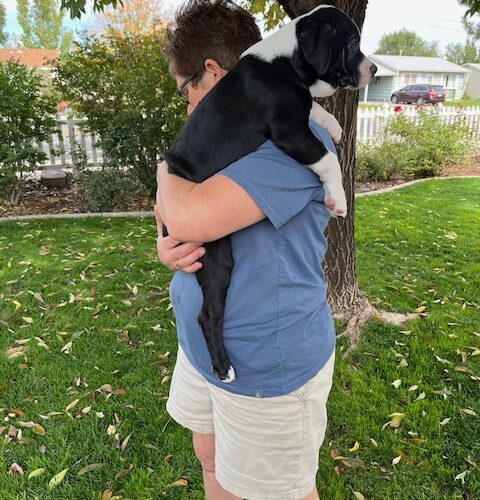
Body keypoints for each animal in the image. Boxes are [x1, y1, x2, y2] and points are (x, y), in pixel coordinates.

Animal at [163, 4, 376, 382]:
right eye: (352, 43)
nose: (375, 69)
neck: (286, 63)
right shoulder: (289, 133)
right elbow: (327, 160)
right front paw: (337, 198)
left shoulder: (299, 115)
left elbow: (314, 108)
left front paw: (333, 124)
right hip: (216, 257)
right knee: (209, 315)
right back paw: (223, 368)